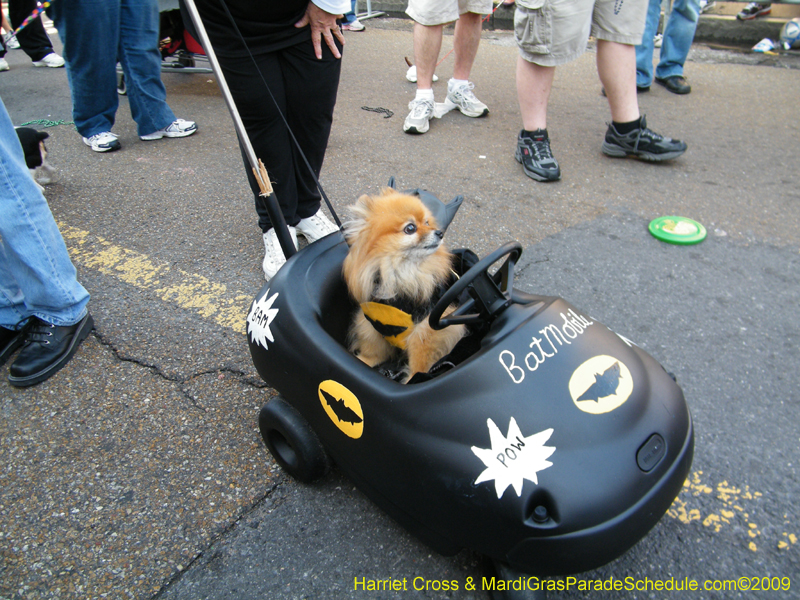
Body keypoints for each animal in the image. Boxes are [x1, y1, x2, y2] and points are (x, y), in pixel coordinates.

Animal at [340, 190, 466, 382]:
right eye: (410, 228)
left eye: (427, 222)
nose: (439, 233)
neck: (399, 272)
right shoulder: (370, 322)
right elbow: (373, 350)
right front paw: (364, 361)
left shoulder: (426, 328)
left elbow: (419, 365)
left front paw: (411, 380)